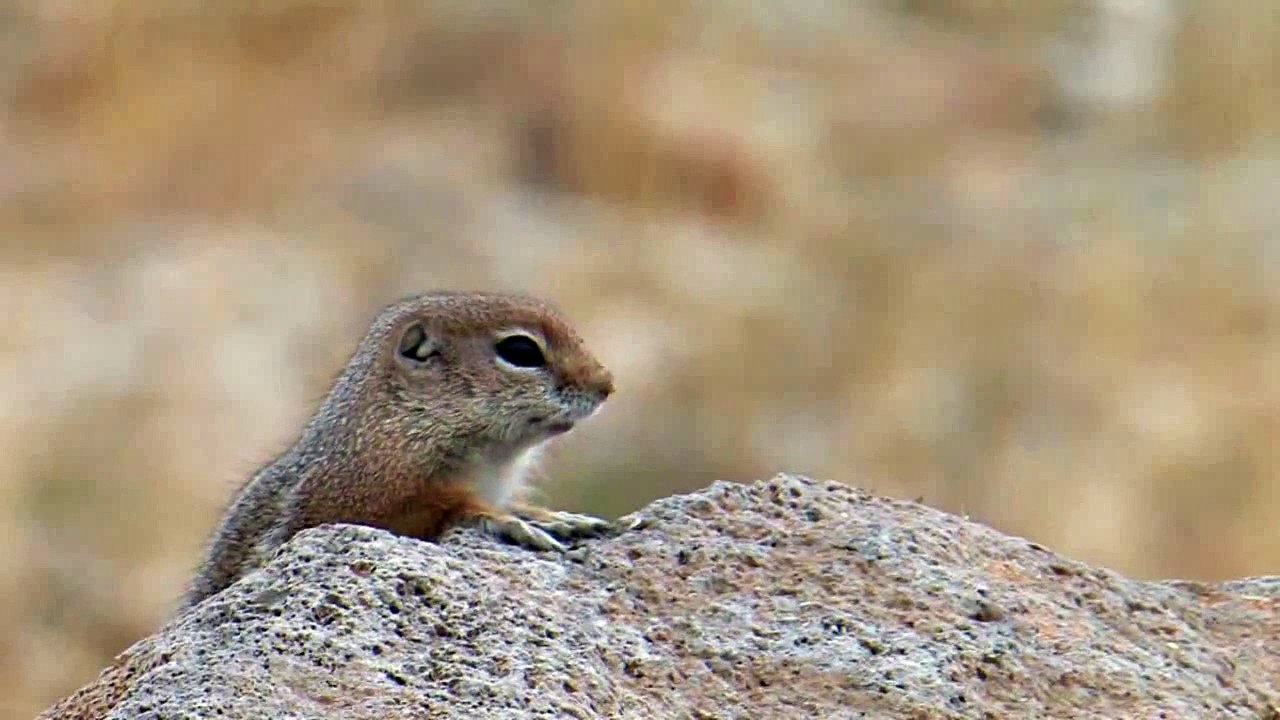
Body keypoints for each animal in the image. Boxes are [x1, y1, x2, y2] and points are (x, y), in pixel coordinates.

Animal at [179, 290, 616, 612]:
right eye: (521, 351)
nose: (607, 386)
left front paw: (554, 516)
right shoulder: (362, 495)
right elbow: (438, 508)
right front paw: (506, 520)